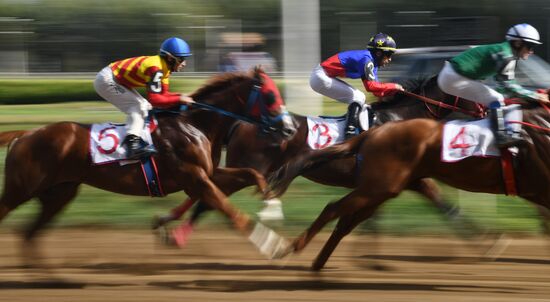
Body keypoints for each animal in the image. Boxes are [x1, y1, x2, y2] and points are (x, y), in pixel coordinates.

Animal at [0, 69, 298, 251]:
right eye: (270, 95)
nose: (290, 129)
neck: (195, 125)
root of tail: (25, 134)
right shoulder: (195, 176)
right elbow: (228, 209)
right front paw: (273, 245)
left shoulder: (206, 174)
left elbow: (251, 174)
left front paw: (271, 201)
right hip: (21, 189)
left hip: (59, 192)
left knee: (31, 233)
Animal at [155, 75, 488, 243]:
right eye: (470, 89)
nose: (486, 109)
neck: (399, 119)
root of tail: (240, 122)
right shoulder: (400, 176)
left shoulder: (406, 177)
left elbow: (441, 204)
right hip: (253, 166)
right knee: (209, 196)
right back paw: (176, 234)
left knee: (206, 189)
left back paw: (167, 219)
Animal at [272, 99, 550, 272]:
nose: (482, 112)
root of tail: (373, 133)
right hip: (378, 187)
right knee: (333, 209)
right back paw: (290, 248)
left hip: (382, 188)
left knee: (344, 219)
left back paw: (317, 263)